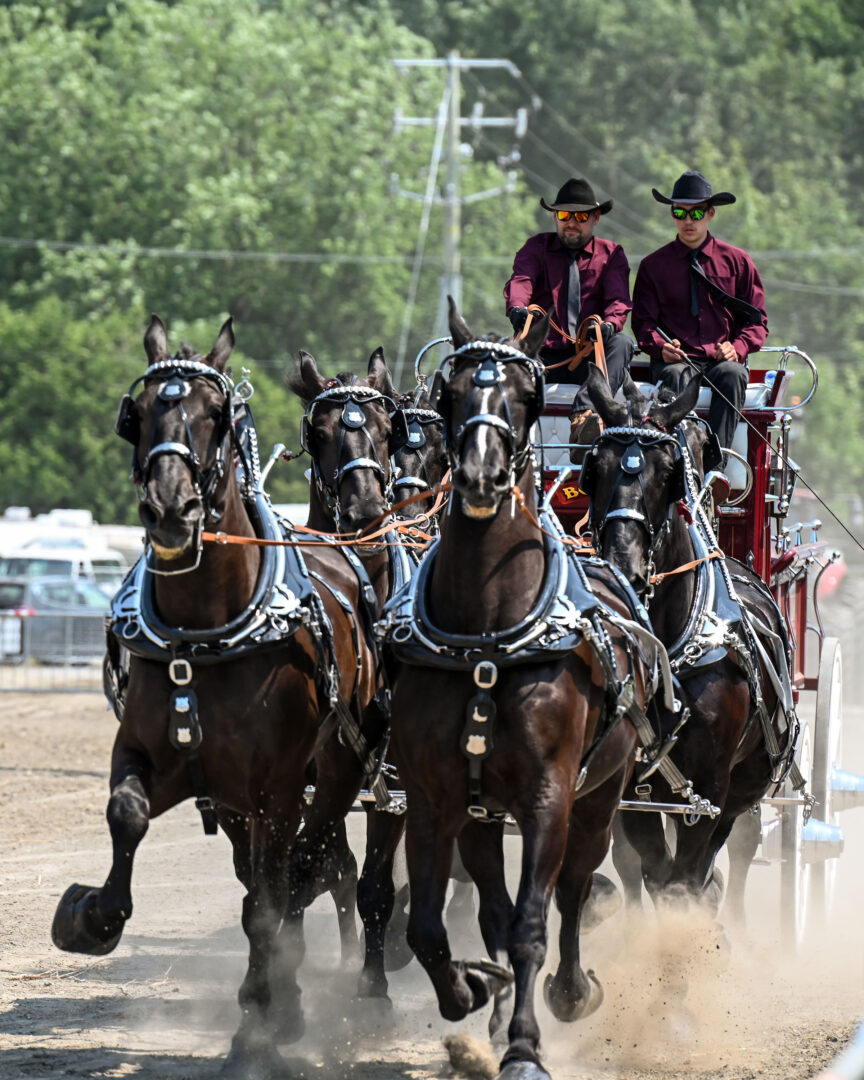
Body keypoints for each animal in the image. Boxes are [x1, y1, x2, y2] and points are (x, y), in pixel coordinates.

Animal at [54, 315, 388, 1075]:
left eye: (215, 415)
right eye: (141, 412)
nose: (170, 508)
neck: (205, 630)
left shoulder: (276, 789)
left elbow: (271, 899)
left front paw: (257, 1024)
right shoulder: (162, 758)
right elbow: (125, 814)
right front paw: (91, 915)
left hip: (339, 771)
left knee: (322, 869)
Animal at [388, 302, 652, 1080]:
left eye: (525, 394)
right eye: (450, 394)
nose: (479, 473)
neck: (486, 633)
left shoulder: (547, 796)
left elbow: (535, 922)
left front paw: (526, 1045)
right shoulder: (434, 797)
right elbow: (430, 925)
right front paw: (472, 989)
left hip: (597, 801)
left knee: (572, 891)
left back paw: (569, 990)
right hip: (482, 814)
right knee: (491, 908)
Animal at [578, 369, 794, 920]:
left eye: (665, 473)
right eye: (595, 467)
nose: (624, 565)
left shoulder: (711, 787)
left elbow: (686, 883)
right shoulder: (635, 786)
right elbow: (655, 872)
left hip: (743, 785)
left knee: (736, 849)